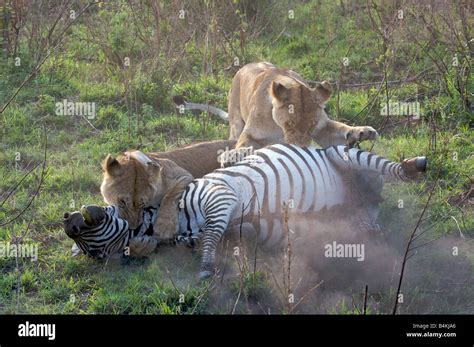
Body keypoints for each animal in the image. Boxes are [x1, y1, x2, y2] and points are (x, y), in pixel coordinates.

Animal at [99, 139, 235, 242]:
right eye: (121, 202)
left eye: (142, 203)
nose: (133, 228)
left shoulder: (182, 175)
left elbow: (169, 197)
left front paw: (164, 228)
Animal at [174, 61, 378, 151]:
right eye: (290, 124)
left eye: (311, 126)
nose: (300, 148)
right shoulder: (250, 133)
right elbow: (243, 145)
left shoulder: (322, 128)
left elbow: (341, 128)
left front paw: (362, 132)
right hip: (235, 122)